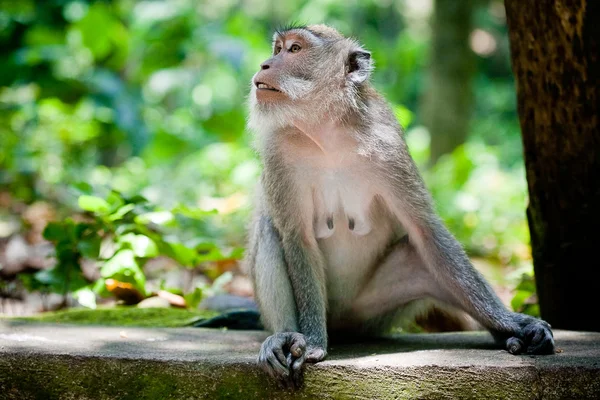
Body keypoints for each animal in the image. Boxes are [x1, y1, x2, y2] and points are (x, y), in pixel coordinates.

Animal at [244, 23, 552, 390]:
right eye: (277, 49)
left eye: (293, 50)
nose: (264, 64)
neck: (327, 132)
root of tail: (343, 324)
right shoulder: (279, 153)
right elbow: (297, 238)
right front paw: (314, 341)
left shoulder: (388, 146)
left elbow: (425, 229)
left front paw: (513, 322)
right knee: (271, 230)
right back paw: (284, 338)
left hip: (373, 311)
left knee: (426, 260)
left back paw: (506, 333)